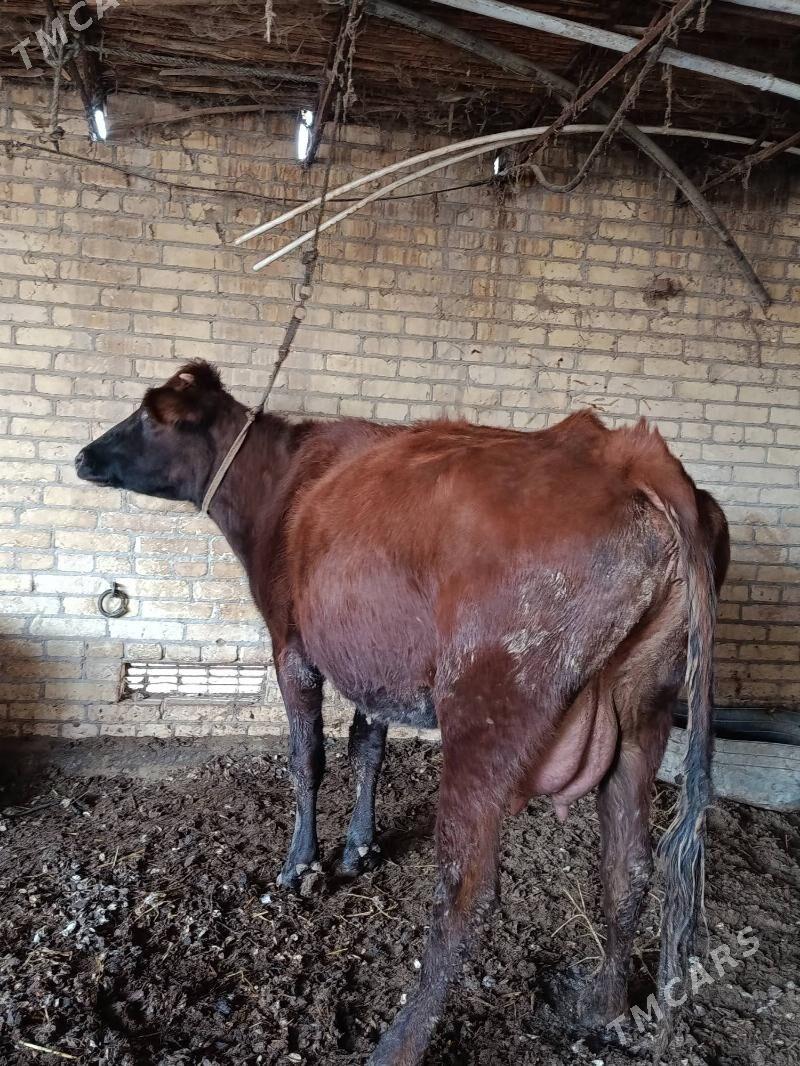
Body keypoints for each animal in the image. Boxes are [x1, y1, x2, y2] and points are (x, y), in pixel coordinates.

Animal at [76, 361, 729, 1065]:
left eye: (151, 416)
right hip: (643, 711)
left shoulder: (292, 648)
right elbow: (369, 750)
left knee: (468, 892)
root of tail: (630, 452)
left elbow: (308, 759)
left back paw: (397, 1044)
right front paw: (359, 848)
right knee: (629, 866)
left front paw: (301, 866)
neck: (282, 482)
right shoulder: (375, 664)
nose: (82, 456)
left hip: (487, 710)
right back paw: (598, 1003)